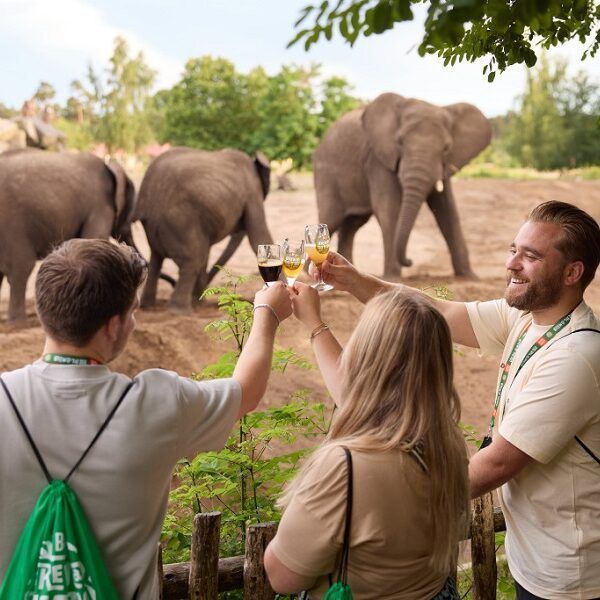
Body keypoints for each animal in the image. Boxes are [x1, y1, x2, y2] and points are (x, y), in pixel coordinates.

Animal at [135, 147, 272, 312]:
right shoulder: (252, 193)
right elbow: (259, 238)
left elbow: (206, 248)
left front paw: (198, 301)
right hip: (180, 221)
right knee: (193, 260)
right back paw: (180, 311)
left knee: (157, 258)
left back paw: (149, 307)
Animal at [314, 93, 492, 278]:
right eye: (399, 142)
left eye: (446, 148)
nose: (410, 260)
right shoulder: (379, 160)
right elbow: (390, 208)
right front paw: (393, 277)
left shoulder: (445, 165)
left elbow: (448, 210)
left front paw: (470, 277)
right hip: (326, 174)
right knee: (331, 220)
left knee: (352, 225)